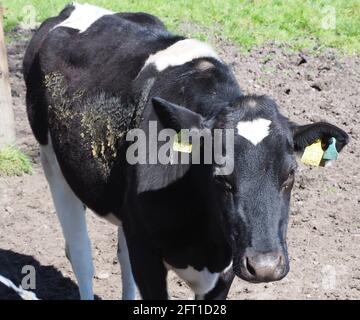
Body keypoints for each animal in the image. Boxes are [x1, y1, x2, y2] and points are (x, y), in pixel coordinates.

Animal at [23, 3, 348, 300]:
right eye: (221, 178)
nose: (265, 266)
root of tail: (71, 9)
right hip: (52, 161)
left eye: (290, 174)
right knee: (80, 254)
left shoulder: (224, 269)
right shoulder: (147, 254)